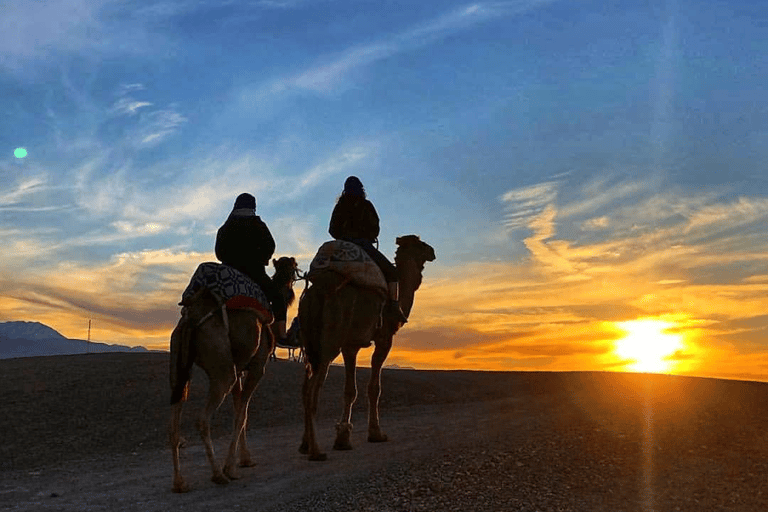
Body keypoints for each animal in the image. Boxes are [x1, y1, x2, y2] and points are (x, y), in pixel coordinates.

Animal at [170, 256, 298, 492]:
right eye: (293, 269)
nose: (295, 273)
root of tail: (192, 316)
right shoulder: (257, 367)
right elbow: (242, 415)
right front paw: (231, 467)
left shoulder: (239, 369)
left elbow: (240, 410)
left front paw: (245, 459)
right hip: (222, 367)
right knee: (202, 420)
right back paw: (218, 474)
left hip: (178, 364)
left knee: (174, 420)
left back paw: (179, 482)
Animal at [298, 236, 436, 460]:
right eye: (420, 244)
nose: (432, 251)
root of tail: (317, 291)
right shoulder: (384, 337)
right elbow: (374, 388)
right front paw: (376, 433)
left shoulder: (351, 345)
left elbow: (349, 390)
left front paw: (343, 438)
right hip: (329, 343)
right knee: (312, 391)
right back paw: (316, 451)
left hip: (310, 344)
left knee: (304, 388)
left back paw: (304, 444)